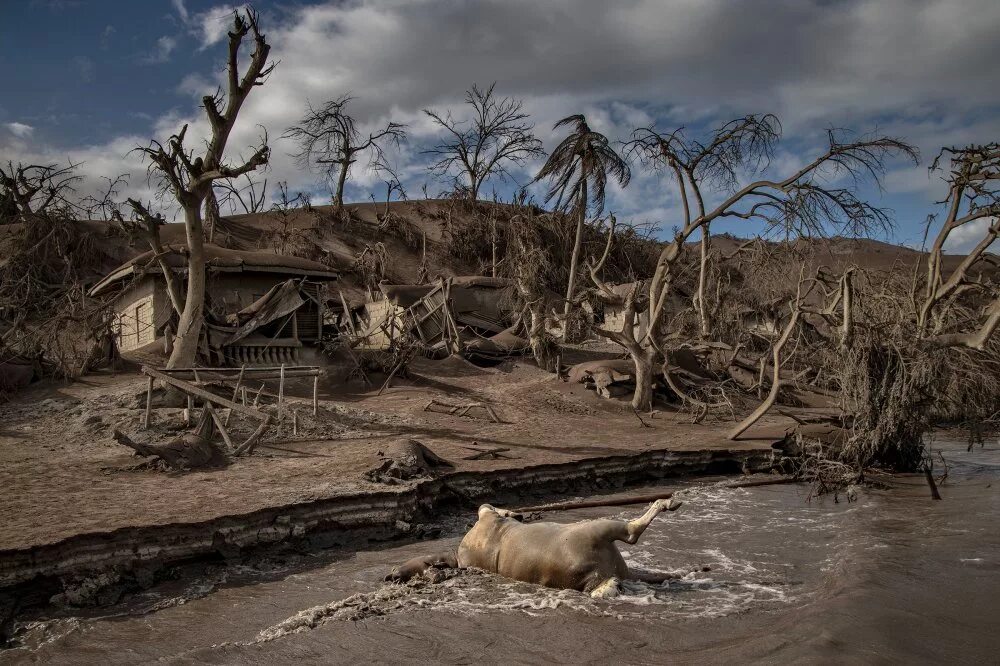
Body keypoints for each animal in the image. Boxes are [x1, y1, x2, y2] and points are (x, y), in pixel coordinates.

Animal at [386, 496, 684, 592]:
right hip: (598, 531)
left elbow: (490, 509)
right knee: (632, 531)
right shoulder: (487, 520)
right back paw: (668, 503)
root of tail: (599, 575)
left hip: (618, 564)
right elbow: (487, 508)